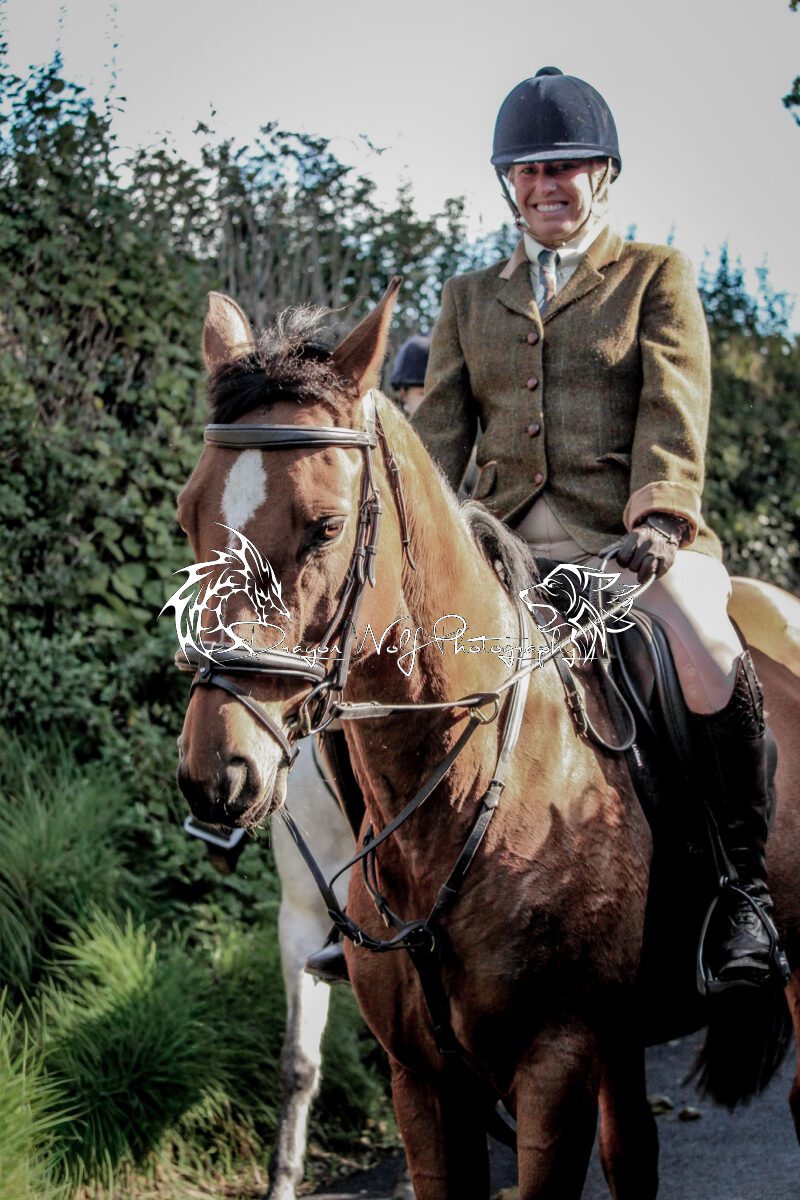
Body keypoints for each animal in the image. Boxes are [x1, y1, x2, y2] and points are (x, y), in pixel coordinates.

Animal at [173, 282, 800, 1199]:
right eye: (190, 516)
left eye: (325, 527)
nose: (217, 771)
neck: (461, 793)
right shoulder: (419, 1074)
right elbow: (304, 1067)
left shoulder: (556, 1060)